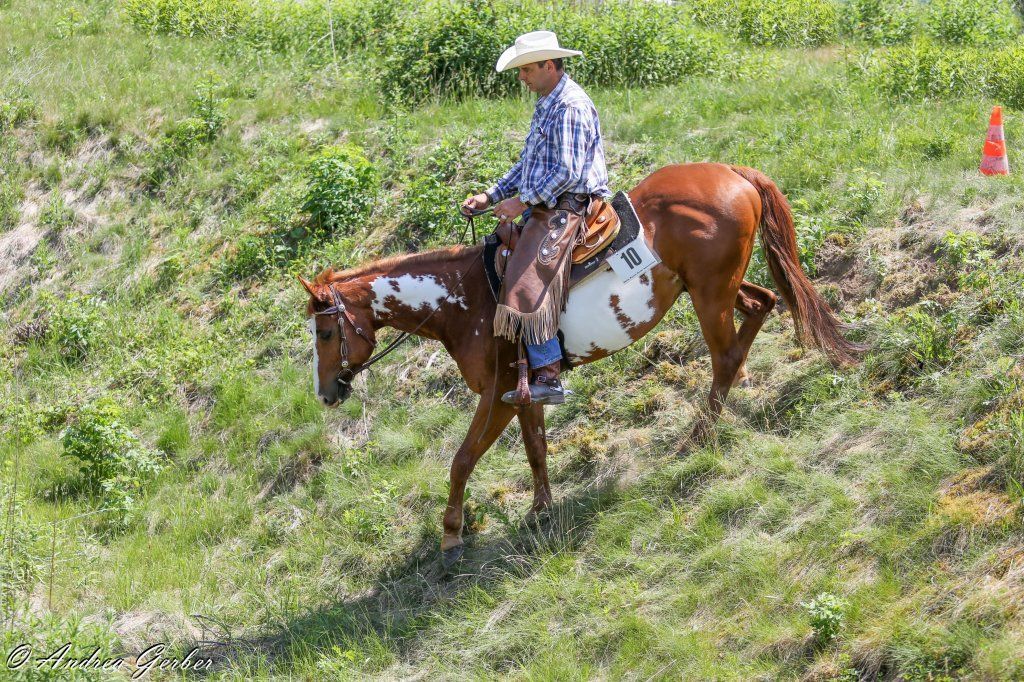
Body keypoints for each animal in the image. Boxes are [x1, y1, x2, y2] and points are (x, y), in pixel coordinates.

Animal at [299, 163, 861, 568]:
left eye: (325, 332)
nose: (326, 394)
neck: (466, 298)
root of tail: (734, 174)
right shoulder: (524, 391)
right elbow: (536, 448)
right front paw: (540, 509)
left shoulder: (497, 393)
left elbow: (462, 459)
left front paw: (451, 536)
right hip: (716, 288)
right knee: (762, 306)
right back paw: (737, 385)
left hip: (709, 294)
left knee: (723, 355)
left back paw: (698, 436)